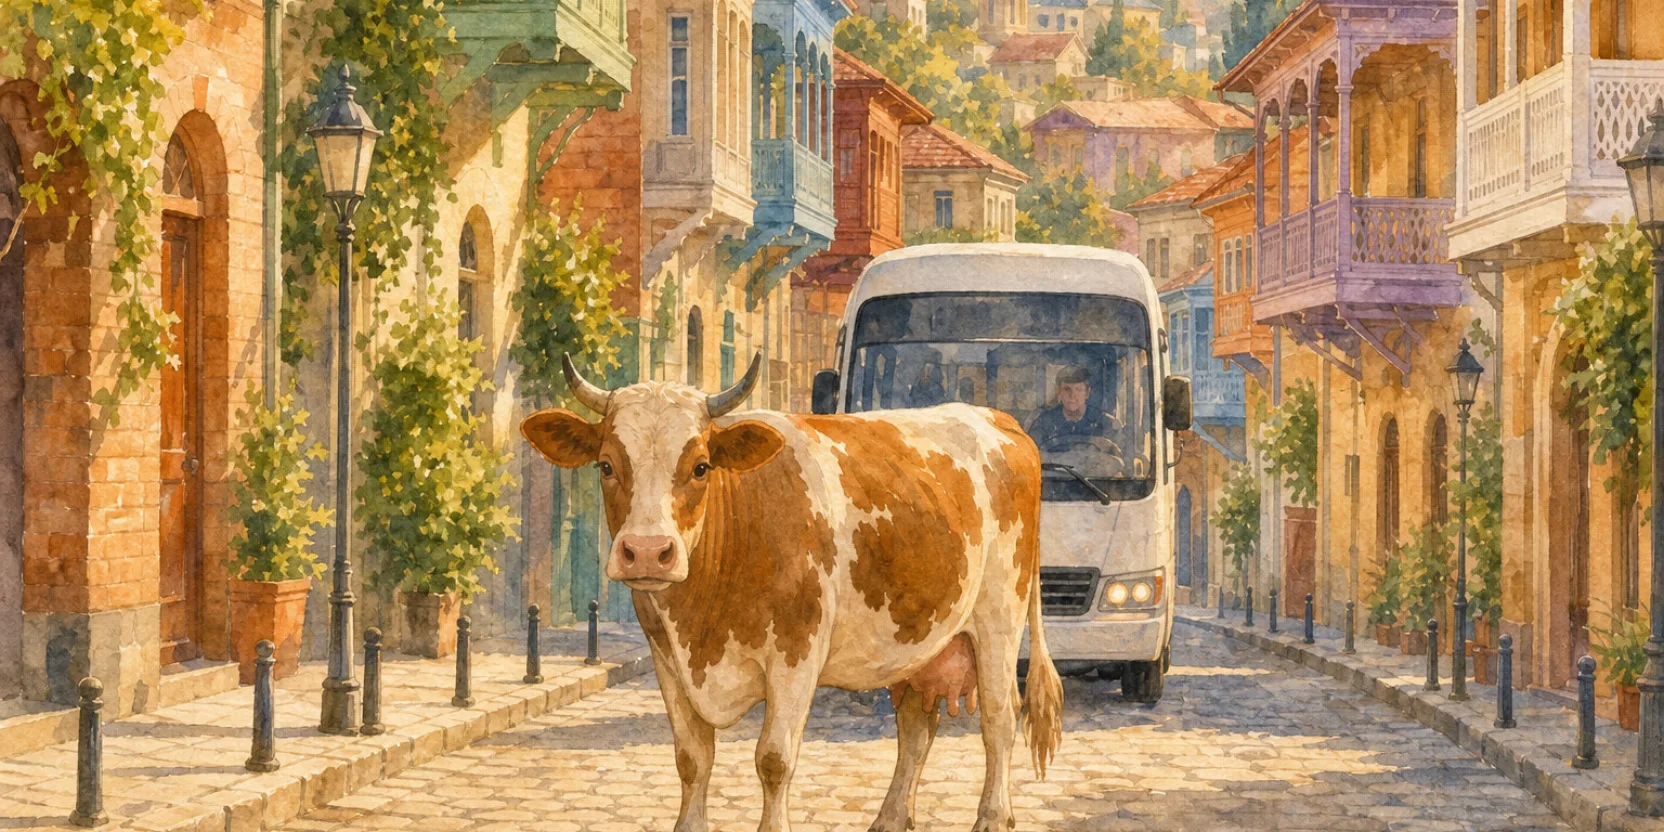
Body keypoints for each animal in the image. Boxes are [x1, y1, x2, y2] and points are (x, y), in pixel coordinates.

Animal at [522, 354, 1063, 832]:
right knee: (915, 727)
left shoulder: (796, 654)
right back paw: (889, 818)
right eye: (606, 466)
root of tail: (997, 419)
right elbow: (692, 758)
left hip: (1000, 616)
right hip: (919, 639)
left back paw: (993, 817)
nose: (649, 552)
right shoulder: (668, 659)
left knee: (999, 718)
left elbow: (774, 759)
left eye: (700, 467)